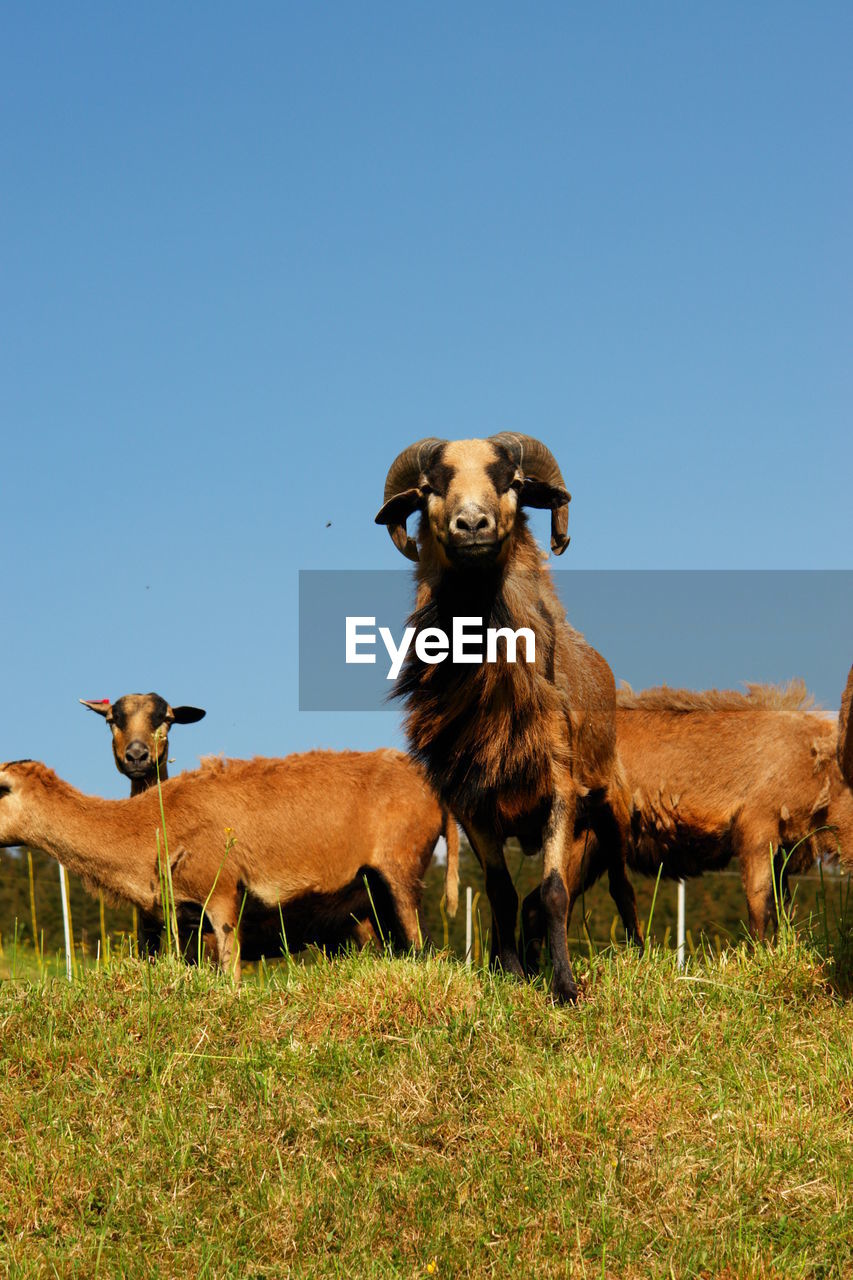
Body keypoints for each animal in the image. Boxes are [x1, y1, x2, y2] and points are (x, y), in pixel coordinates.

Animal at [0, 747, 458, 977]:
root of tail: (434, 790)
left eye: (3, 787)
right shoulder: (181, 923)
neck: (146, 829)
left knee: (420, 948)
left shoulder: (220, 898)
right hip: (365, 908)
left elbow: (231, 978)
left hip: (400, 870)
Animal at [373, 435, 637, 1003]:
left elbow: (555, 892)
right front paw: (513, 976)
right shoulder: (473, 803)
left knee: (621, 885)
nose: (472, 524)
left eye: (512, 482)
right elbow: (503, 893)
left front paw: (566, 989)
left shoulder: (560, 786)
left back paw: (640, 951)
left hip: (609, 805)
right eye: (430, 487)